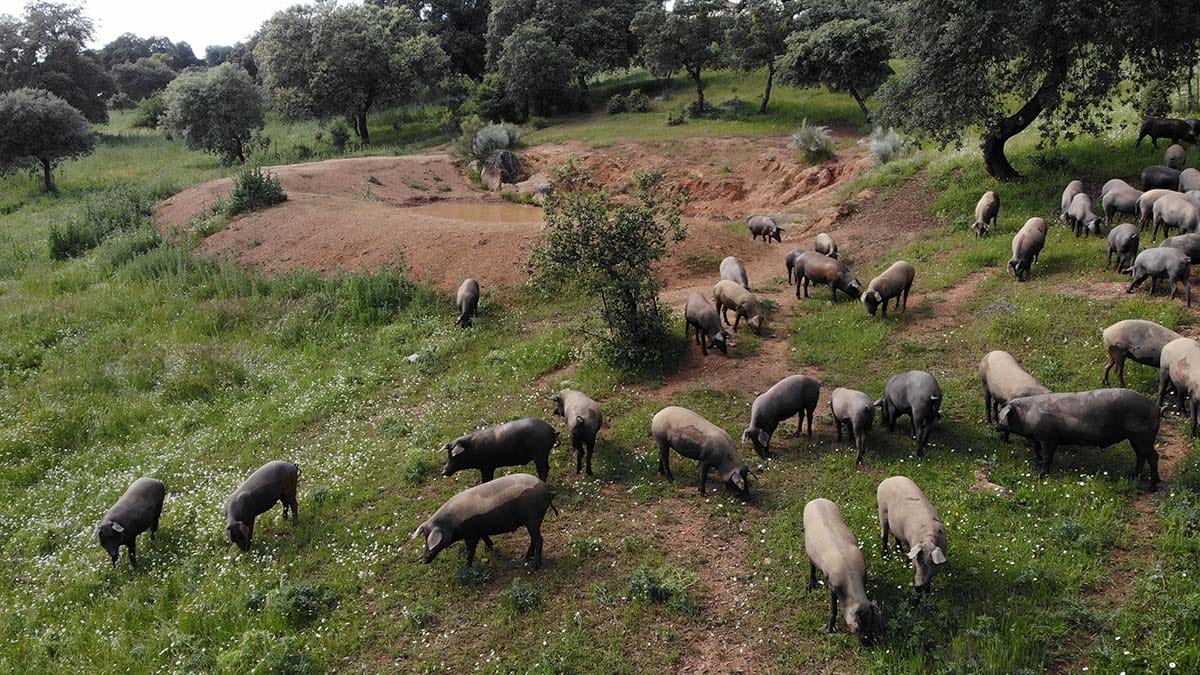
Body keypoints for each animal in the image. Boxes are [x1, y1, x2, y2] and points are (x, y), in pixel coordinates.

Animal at [411, 473, 556, 569]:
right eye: (424, 536)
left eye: (429, 539)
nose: (421, 561)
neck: (451, 522)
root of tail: (546, 489)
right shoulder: (479, 530)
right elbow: (485, 537)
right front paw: (490, 548)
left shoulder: (471, 534)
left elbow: (470, 550)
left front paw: (467, 567)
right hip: (532, 521)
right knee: (533, 539)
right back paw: (526, 558)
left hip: (533, 518)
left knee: (539, 540)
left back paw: (535, 566)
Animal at [803, 498, 883, 642]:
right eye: (857, 627)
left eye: (870, 623)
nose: (867, 641)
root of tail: (816, 499)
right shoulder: (832, 584)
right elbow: (833, 609)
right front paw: (829, 629)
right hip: (808, 549)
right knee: (811, 564)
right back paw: (812, 585)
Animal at [994, 390, 1161, 490]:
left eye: (1001, 416)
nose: (995, 426)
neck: (1029, 416)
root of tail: (1156, 408)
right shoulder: (1038, 437)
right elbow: (1036, 449)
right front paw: (1037, 461)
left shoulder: (1049, 438)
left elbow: (1047, 456)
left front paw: (1040, 476)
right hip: (1136, 439)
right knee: (1141, 456)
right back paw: (1134, 476)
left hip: (1143, 437)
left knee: (1153, 456)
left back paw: (1152, 487)